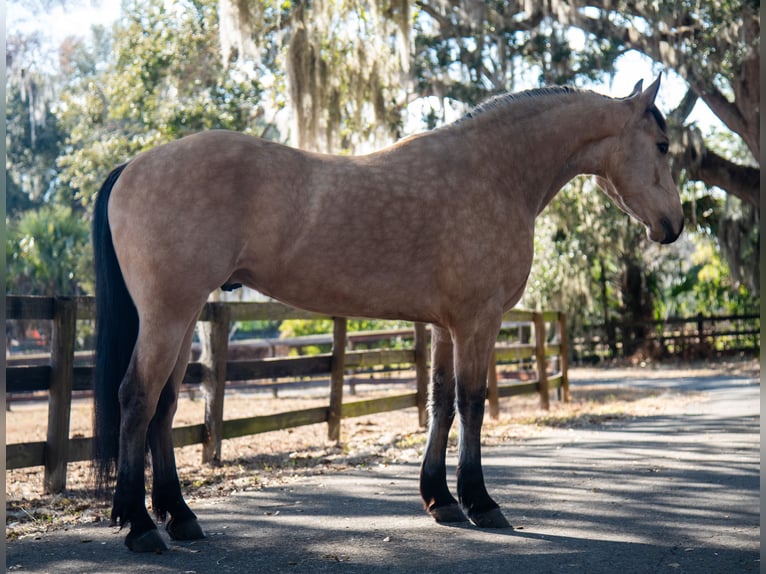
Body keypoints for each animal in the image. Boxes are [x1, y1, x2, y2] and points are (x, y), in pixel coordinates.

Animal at [92, 76, 683, 552]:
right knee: (137, 399)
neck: (494, 170)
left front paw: (441, 501)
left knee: (165, 408)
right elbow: (471, 406)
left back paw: (180, 517)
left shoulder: (446, 327)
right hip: (168, 315)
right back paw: (141, 527)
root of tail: (132, 166)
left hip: (184, 316)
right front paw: (480, 502)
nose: (674, 225)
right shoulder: (478, 323)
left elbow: (440, 404)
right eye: (661, 144)